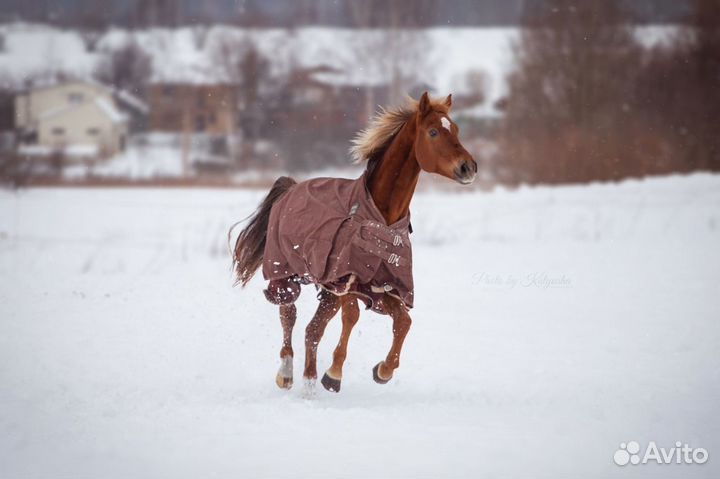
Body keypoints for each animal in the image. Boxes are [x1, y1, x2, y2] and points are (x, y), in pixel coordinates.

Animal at [232, 91, 478, 394]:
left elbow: (403, 322)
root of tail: (291, 187)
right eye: (433, 132)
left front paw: (383, 370)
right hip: (285, 275)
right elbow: (350, 317)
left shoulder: (383, 286)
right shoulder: (347, 280)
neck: (382, 219)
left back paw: (307, 378)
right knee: (289, 316)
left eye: (455, 129)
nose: (469, 167)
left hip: (325, 289)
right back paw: (288, 373)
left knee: (313, 328)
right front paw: (333, 374)